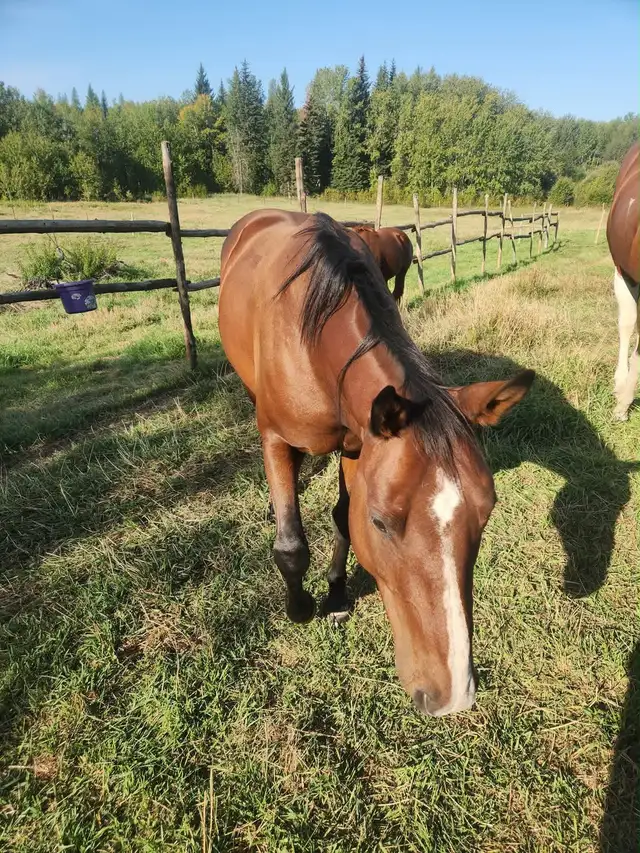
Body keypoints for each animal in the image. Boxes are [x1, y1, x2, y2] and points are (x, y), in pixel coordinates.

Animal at [218, 209, 534, 716]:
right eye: (382, 523)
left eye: (486, 514)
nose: (452, 695)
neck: (314, 341)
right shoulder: (278, 438)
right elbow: (291, 546)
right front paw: (300, 607)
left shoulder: (358, 444)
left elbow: (342, 518)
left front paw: (337, 594)